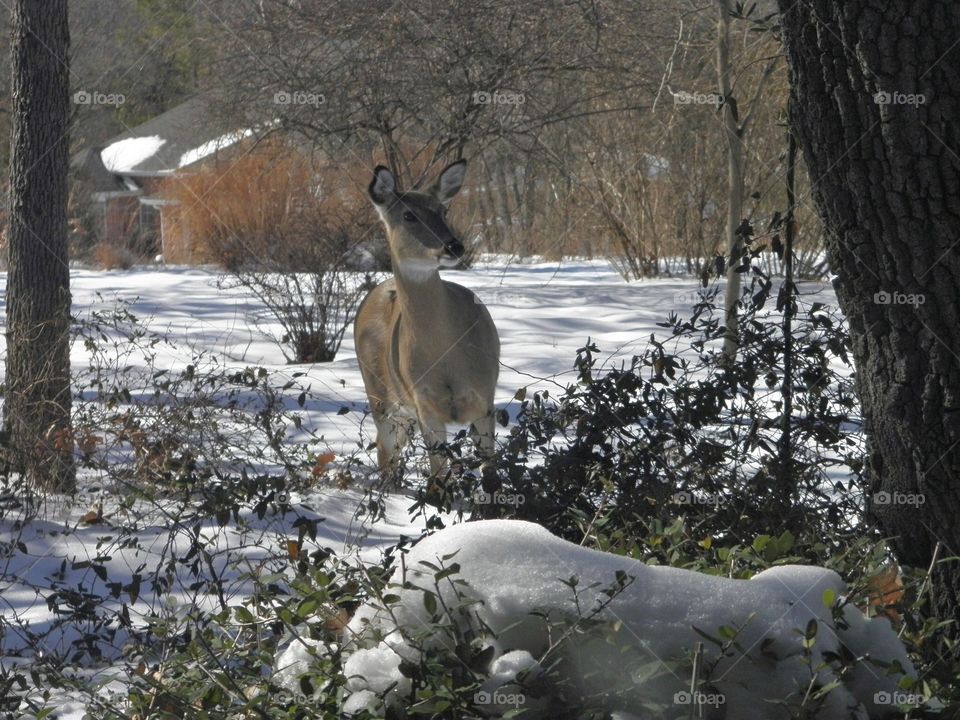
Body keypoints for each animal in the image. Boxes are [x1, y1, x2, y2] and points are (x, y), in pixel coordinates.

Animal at [354, 160, 500, 489]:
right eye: (409, 215)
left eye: (443, 211)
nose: (454, 246)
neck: (447, 356)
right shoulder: (426, 406)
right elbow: (437, 479)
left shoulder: (486, 398)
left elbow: (490, 474)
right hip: (379, 395)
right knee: (385, 453)